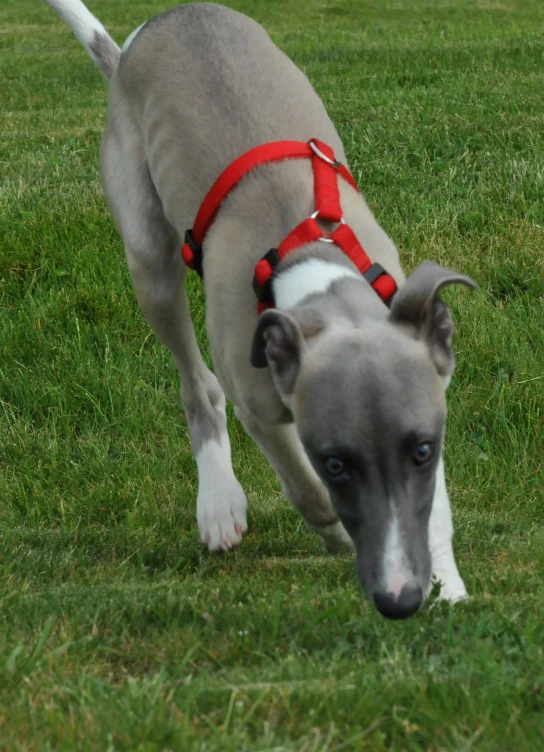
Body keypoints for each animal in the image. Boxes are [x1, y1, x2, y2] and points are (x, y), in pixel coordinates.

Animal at [43, 0, 476, 620]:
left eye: (422, 450)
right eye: (337, 462)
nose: (400, 599)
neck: (310, 270)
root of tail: (149, 31)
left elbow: (432, 505)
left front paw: (446, 584)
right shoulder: (260, 406)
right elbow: (308, 491)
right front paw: (342, 536)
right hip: (147, 251)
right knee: (197, 383)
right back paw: (219, 504)